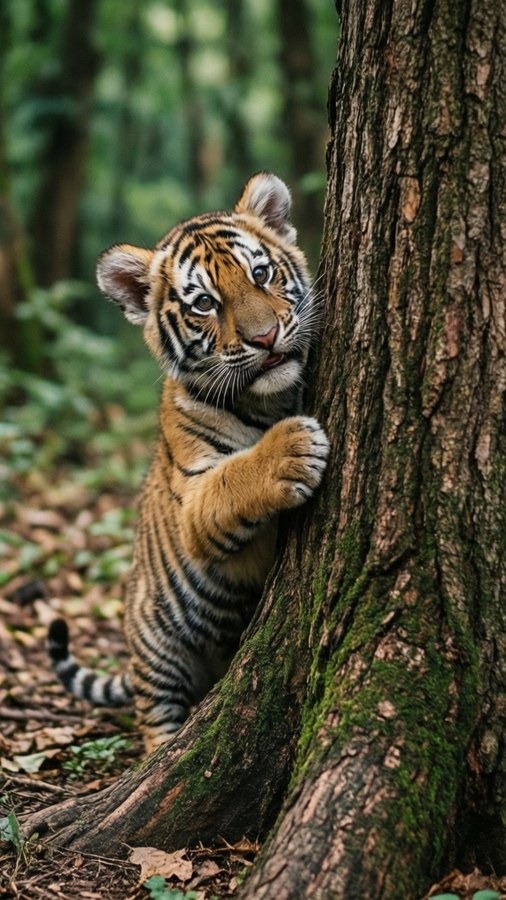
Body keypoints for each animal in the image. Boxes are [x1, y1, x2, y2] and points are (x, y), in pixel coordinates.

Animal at [48, 172, 329, 752]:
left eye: (261, 273)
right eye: (204, 303)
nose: (265, 338)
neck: (269, 402)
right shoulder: (192, 504)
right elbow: (232, 478)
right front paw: (292, 448)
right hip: (158, 650)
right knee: (155, 721)